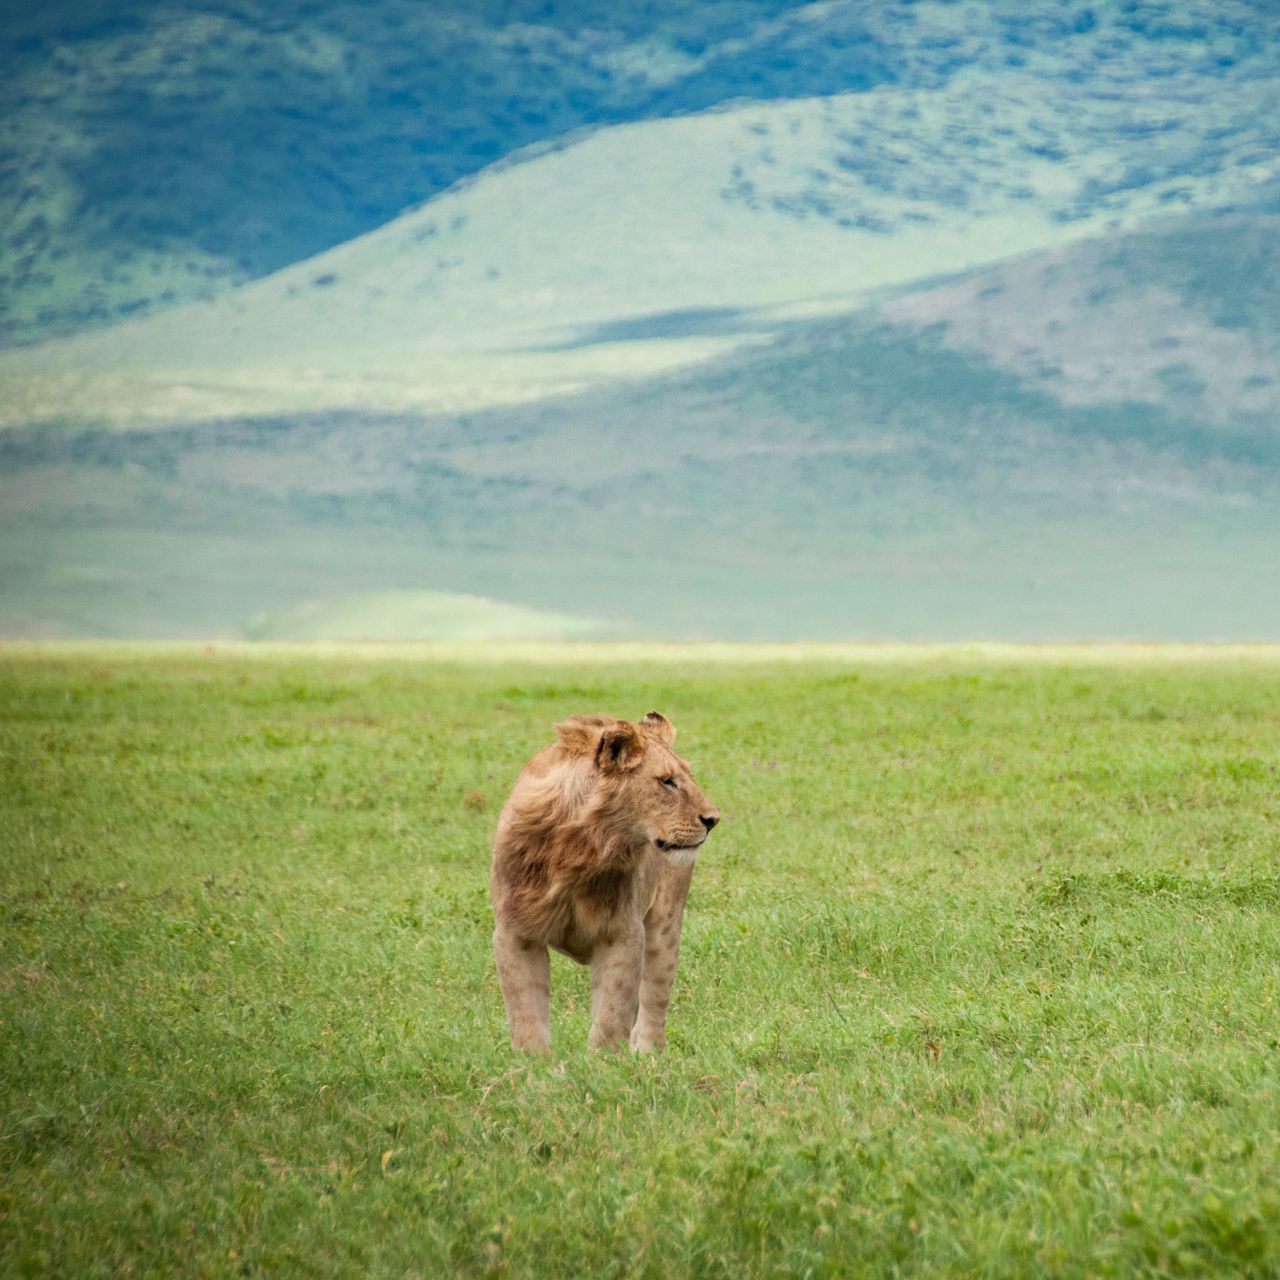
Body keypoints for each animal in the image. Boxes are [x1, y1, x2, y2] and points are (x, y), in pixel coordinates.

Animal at [488, 711, 721, 1049]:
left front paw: (604, 1063)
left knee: (653, 1004)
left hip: (665, 926)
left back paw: (648, 1054)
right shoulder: (515, 932)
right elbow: (526, 1019)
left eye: (688, 777)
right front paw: (533, 1063)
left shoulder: (623, 933)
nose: (713, 819)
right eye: (667, 781)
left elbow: (611, 1019)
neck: (581, 848)